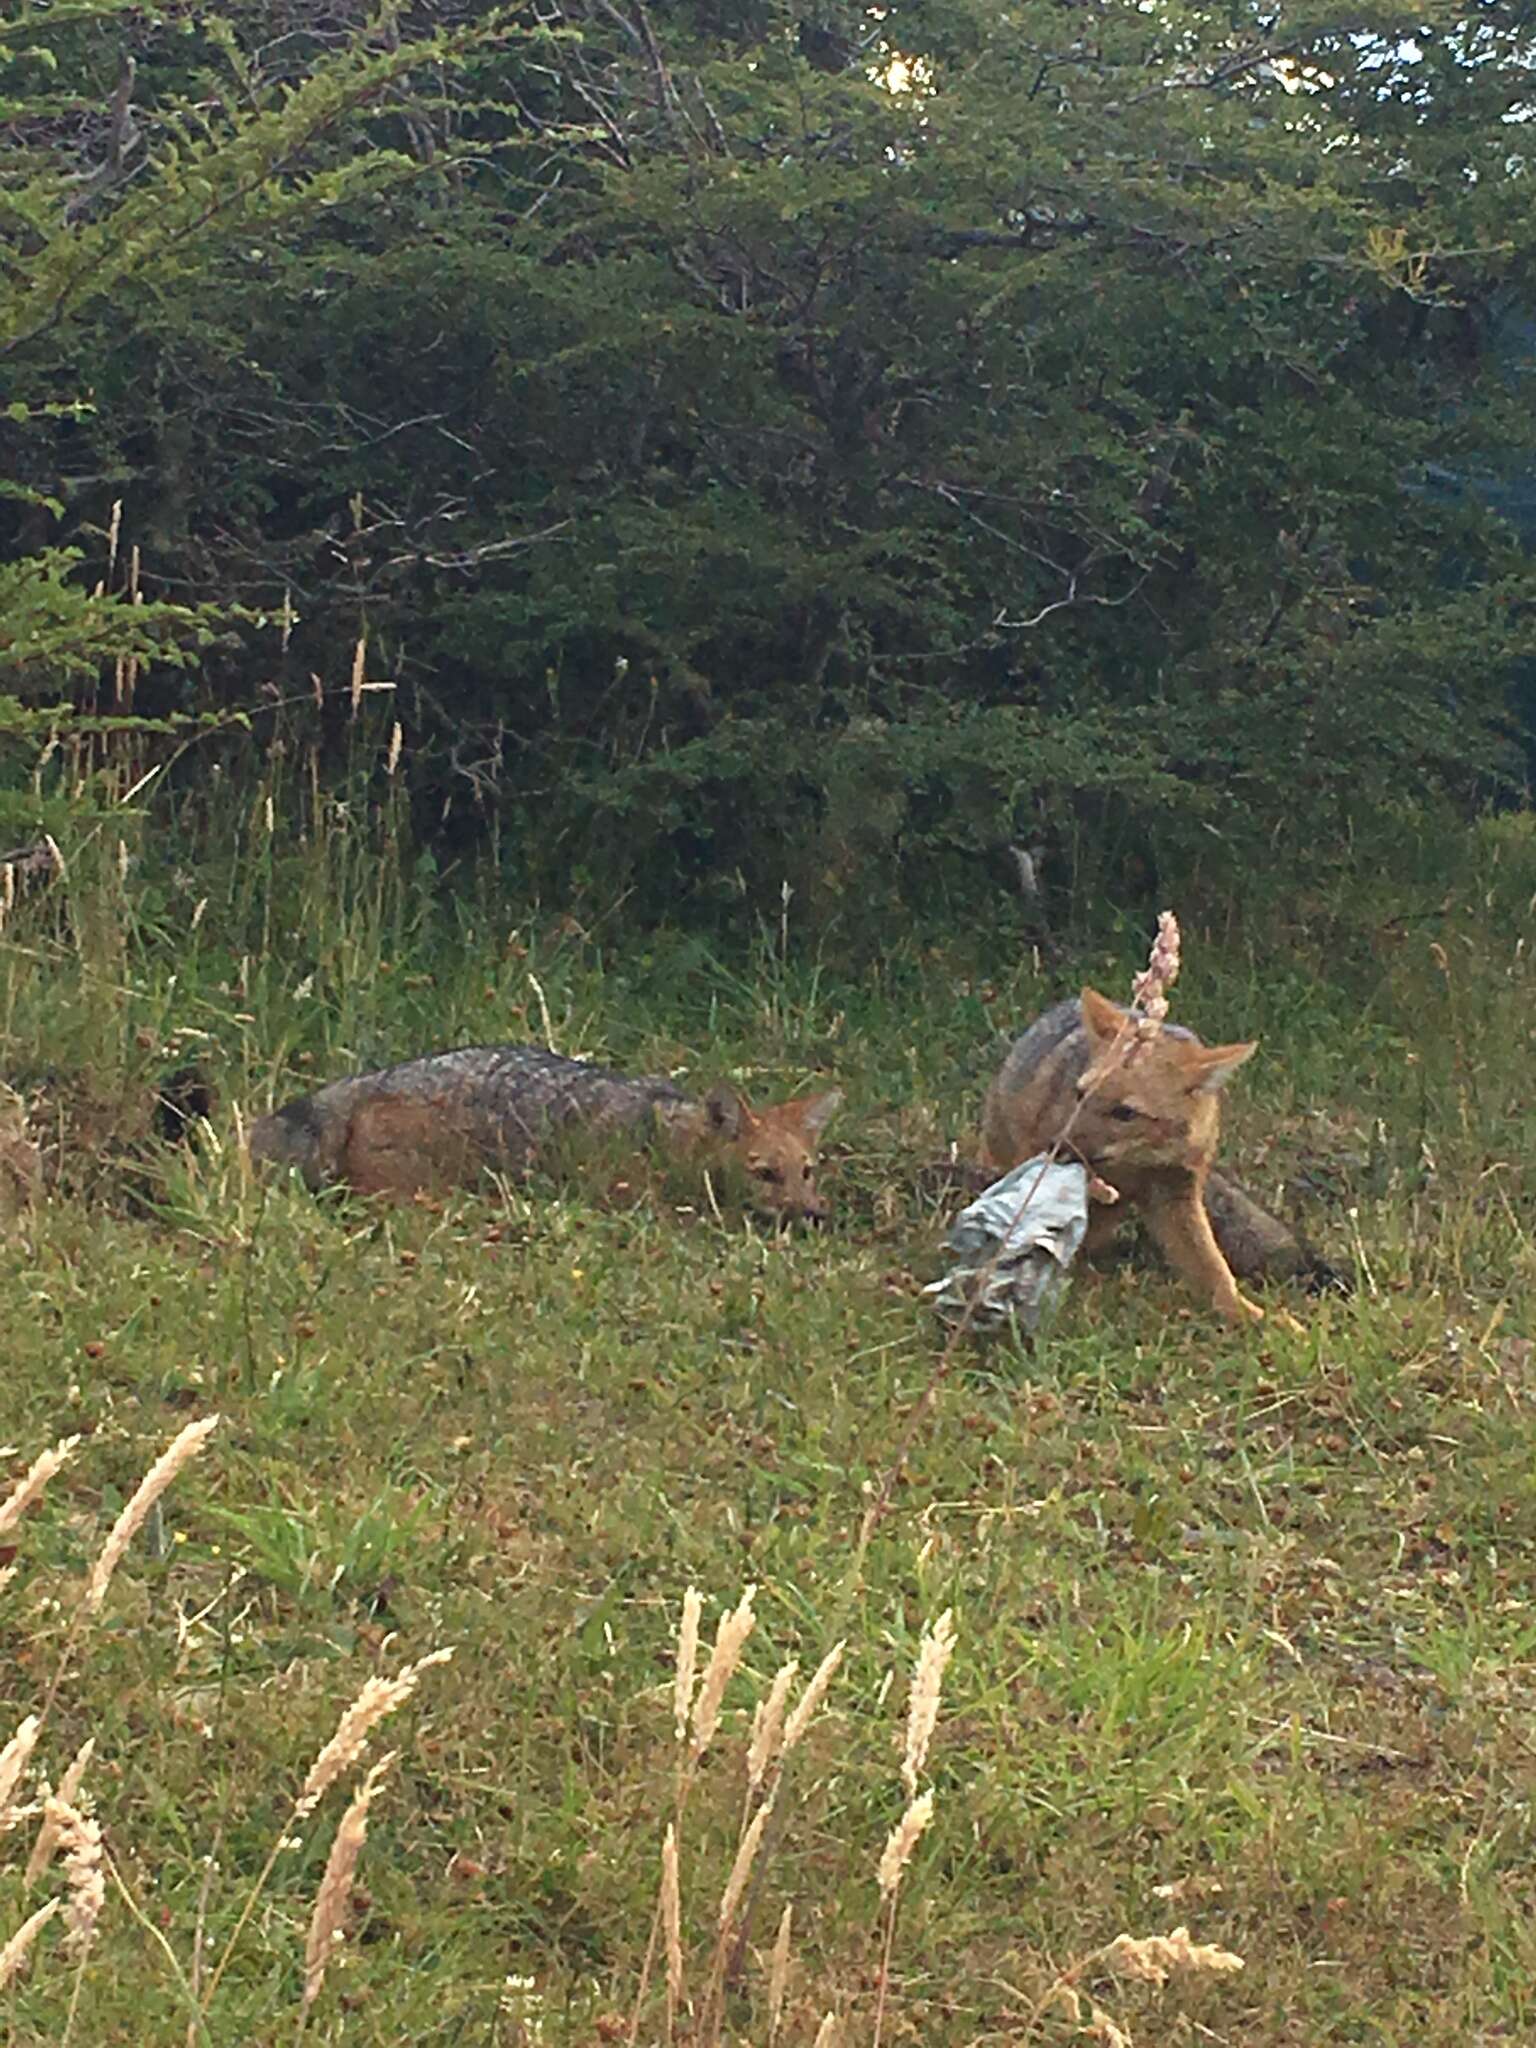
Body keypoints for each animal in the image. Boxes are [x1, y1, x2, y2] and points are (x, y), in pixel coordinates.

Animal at [978, 991, 1294, 1327]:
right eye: (1080, 1094)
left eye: (1125, 1113)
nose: (1054, 1148)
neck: (1134, 1162)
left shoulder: (1176, 1194)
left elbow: (1217, 1271)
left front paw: (1258, 1319)